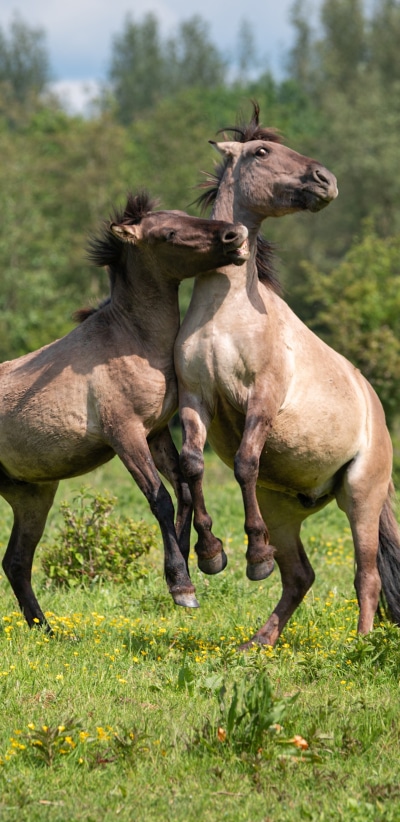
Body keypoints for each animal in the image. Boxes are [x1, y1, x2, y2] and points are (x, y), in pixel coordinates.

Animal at [0, 191, 249, 629]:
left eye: (186, 215)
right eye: (169, 233)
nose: (234, 235)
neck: (133, 342)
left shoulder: (156, 432)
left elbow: (184, 488)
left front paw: (204, 557)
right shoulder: (125, 435)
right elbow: (160, 499)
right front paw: (183, 587)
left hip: (32, 497)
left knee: (16, 562)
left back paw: (47, 631)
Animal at [175, 104, 400, 648]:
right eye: (261, 151)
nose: (326, 180)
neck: (227, 314)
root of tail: (377, 412)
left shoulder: (263, 398)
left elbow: (244, 463)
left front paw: (253, 557)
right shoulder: (195, 398)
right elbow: (192, 466)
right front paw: (211, 554)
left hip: (361, 496)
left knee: (367, 574)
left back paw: (361, 643)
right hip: (283, 508)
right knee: (300, 576)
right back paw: (258, 643)